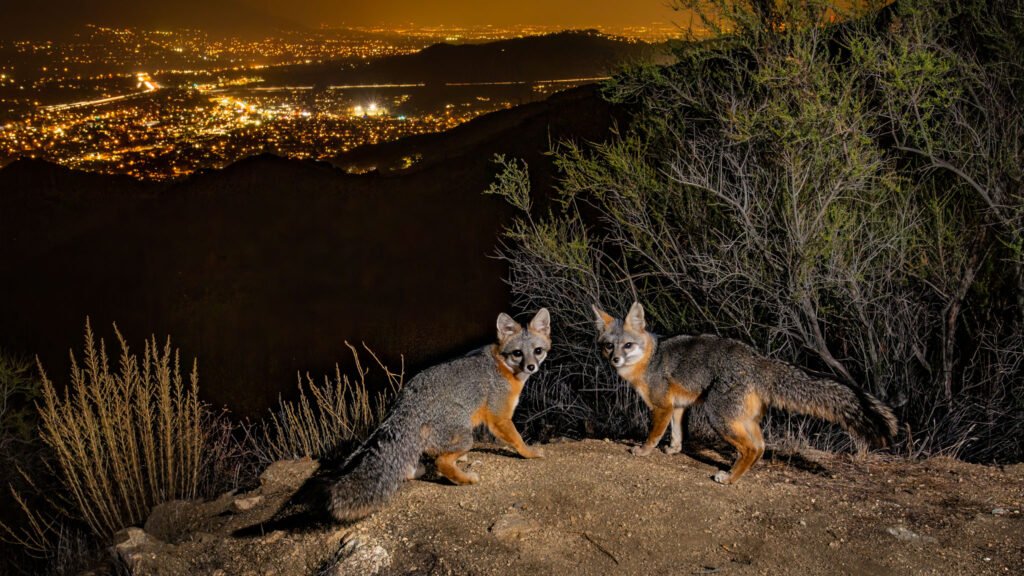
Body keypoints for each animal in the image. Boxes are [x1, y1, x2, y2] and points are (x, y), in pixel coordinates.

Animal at [327, 309, 551, 522]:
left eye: (537, 351)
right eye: (518, 353)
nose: (531, 366)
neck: (504, 366)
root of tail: (406, 403)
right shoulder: (500, 419)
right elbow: (518, 440)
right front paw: (530, 453)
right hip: (466, 436)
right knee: (441, 463)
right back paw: (465, 479)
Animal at [592, 301, 898, 485]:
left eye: (628, 346)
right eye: (609, 346)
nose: (615, 360)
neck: (650, 358)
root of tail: (757, 358)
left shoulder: (662, 407)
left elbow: (654, 434)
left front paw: (643, 451)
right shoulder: (678, 407)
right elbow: (678, 434)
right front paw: (673, 450)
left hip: (718, 416)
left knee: (750, 448)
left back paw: (728, 479)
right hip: (742, 419)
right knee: (760, 447)